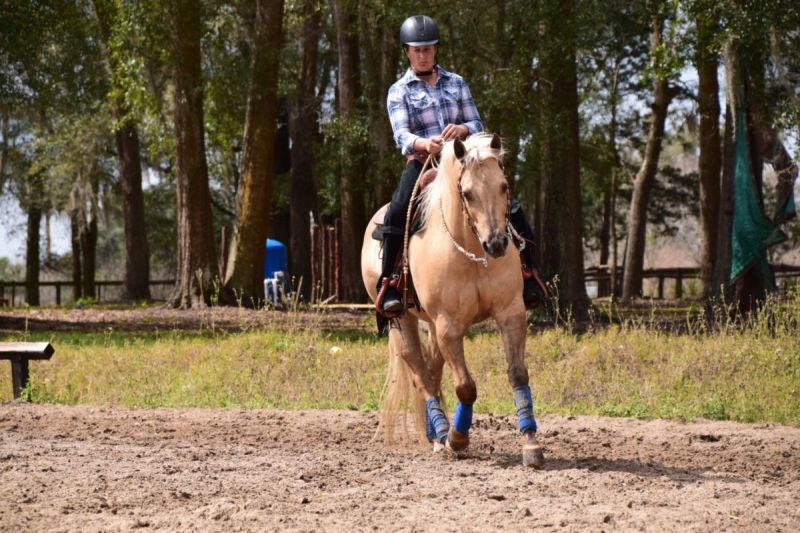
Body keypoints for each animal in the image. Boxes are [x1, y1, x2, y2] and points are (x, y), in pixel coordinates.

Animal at [361, 133, 545, 468]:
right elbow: (466, 387)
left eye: (504, 186)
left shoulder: (511, 313)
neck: (472, 252)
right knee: (421, 376)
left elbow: (517, 374)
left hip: (432, 327)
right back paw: (442, 433)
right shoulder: (449, 326)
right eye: (467, 193)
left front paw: (531, 443)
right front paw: (458, 438)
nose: (497, 244)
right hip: (403, 321)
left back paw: (436, 434)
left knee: (433, 372)